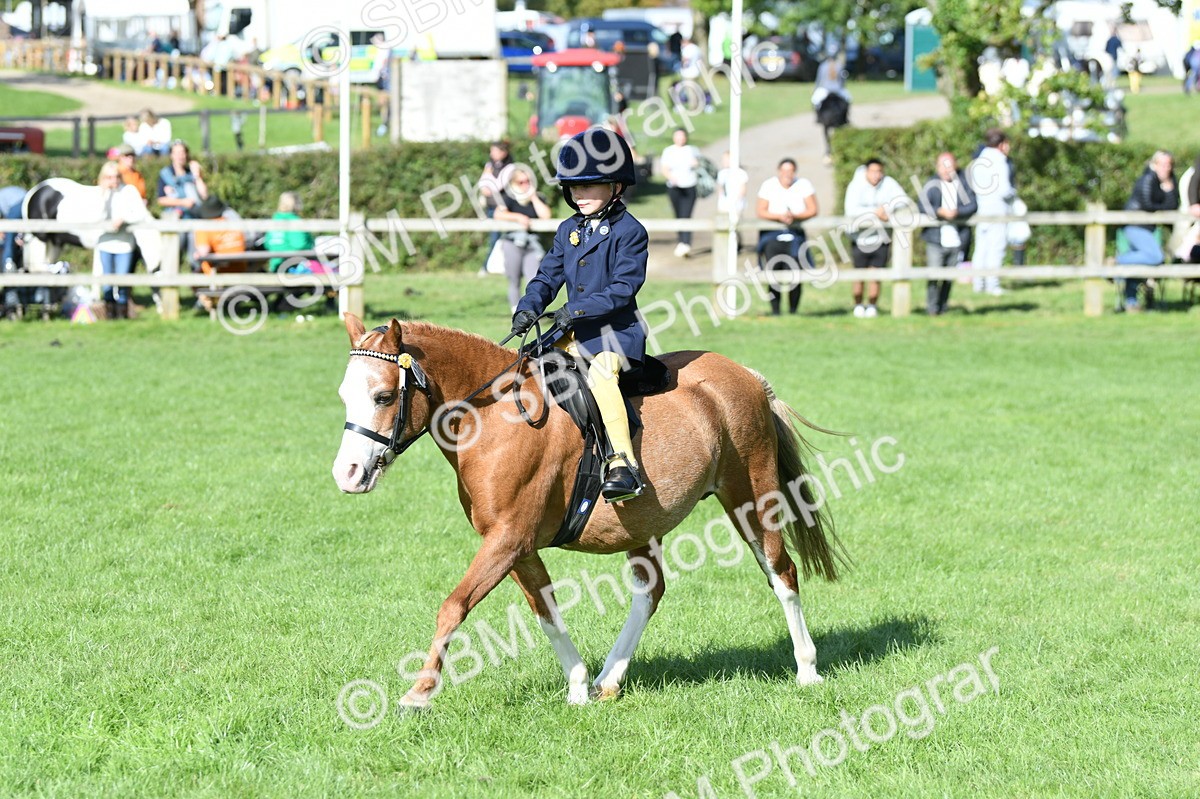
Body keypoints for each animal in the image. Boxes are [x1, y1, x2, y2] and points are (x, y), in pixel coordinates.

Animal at [331, 314, 846, 709]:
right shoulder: (516, 546)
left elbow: (453, 606)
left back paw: (807, 669)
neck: (496, 416)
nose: (347, 474)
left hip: (751, 497)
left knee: (781, 572)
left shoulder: (507, 539)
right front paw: (578, 685)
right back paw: (608, 680)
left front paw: (419, 693)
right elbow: (546, 611)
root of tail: (744, 374)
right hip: (643, 521)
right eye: (343, 396)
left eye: (383, 397)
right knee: (650, 591)